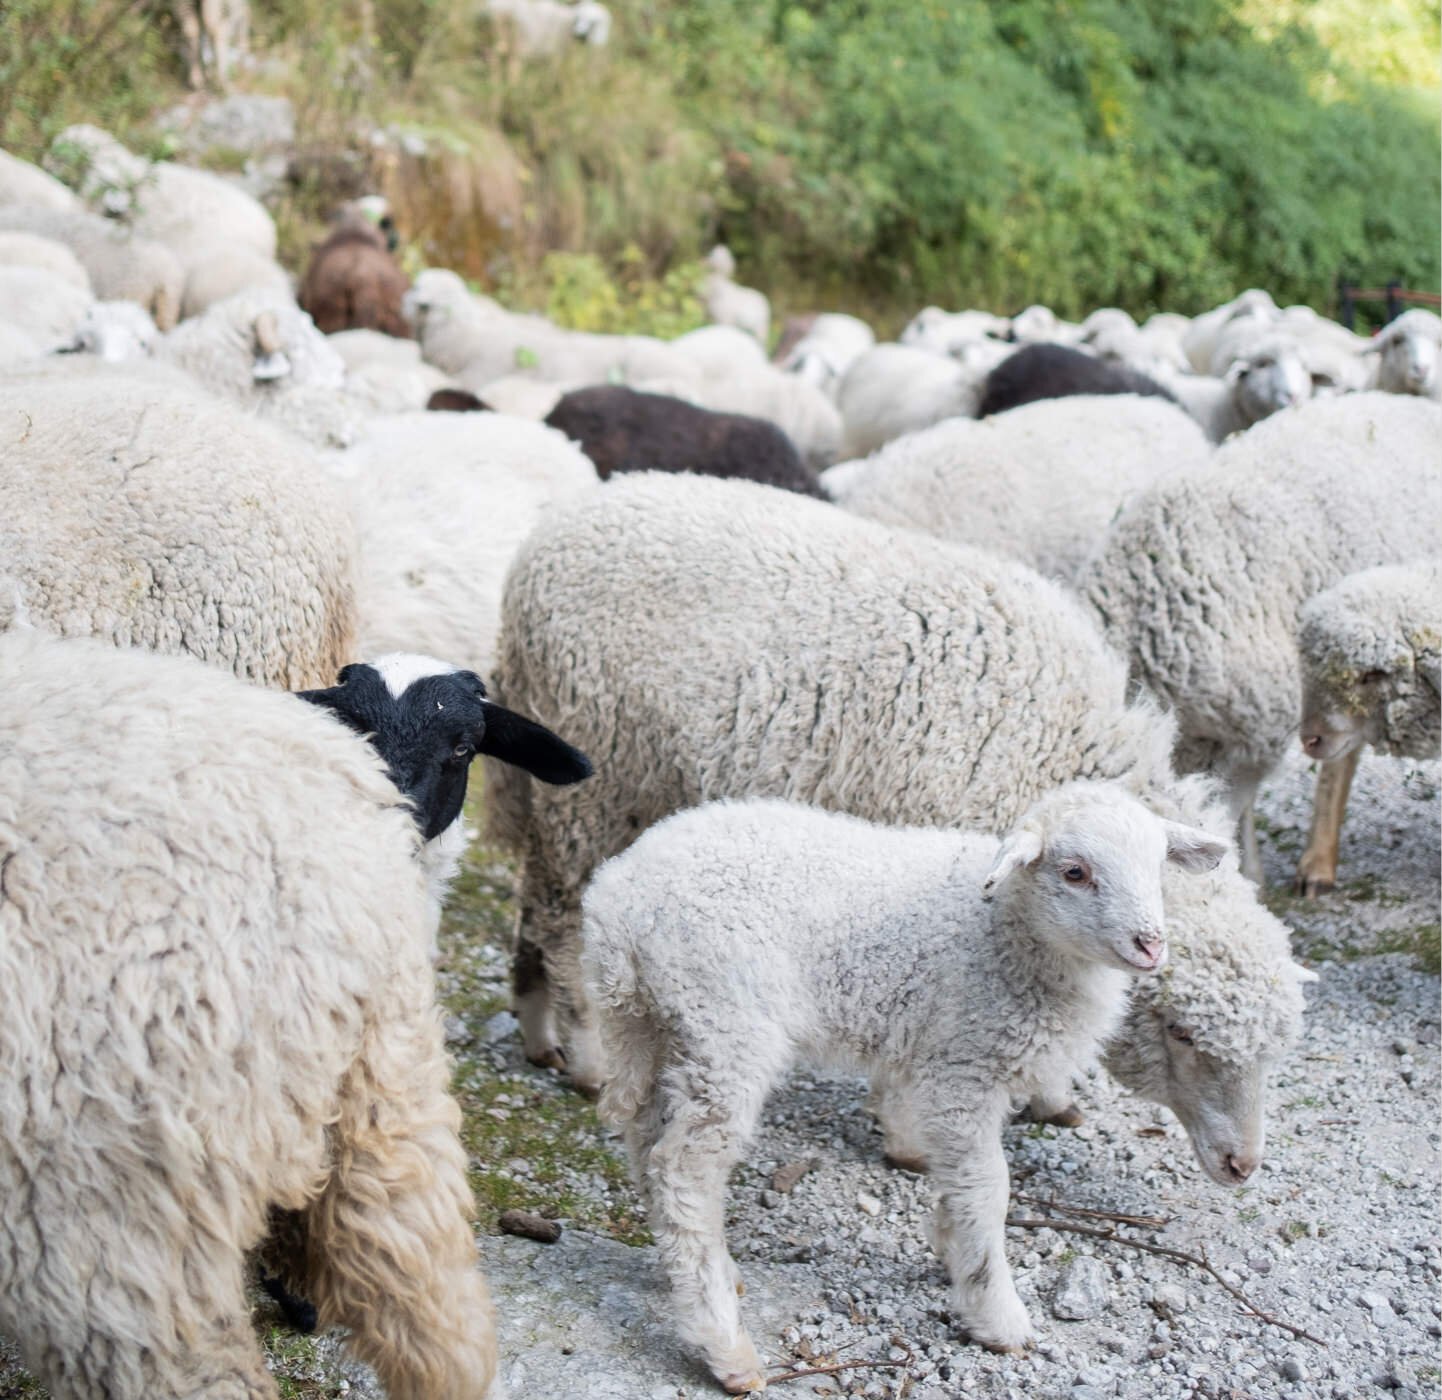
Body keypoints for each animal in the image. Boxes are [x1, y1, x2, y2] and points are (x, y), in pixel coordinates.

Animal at [484, 470, 1313, 1184]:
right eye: (1182, 1033)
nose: (1242, 1164)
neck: (1058, 745)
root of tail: (540, 546)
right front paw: (910, 1139)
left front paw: (1050, 1098)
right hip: (597, 782)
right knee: (562, 918)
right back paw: (585, 1055)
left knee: (534, 898)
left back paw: (536, 1029)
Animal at [584, 785, 1228, 1387]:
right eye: (1075, 872)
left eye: (1157, 866)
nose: (1150, 944)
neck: (1006, 929)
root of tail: (616, 903)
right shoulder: (963, 1066)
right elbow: (988, 1188)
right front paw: (995, 1311)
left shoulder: (962, 1071)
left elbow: (962, 1180)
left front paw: (950, 1246)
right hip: (728, 1022)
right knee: (686, 1168)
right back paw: (725, 1347)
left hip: (655, 1026)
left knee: (647, 1141)